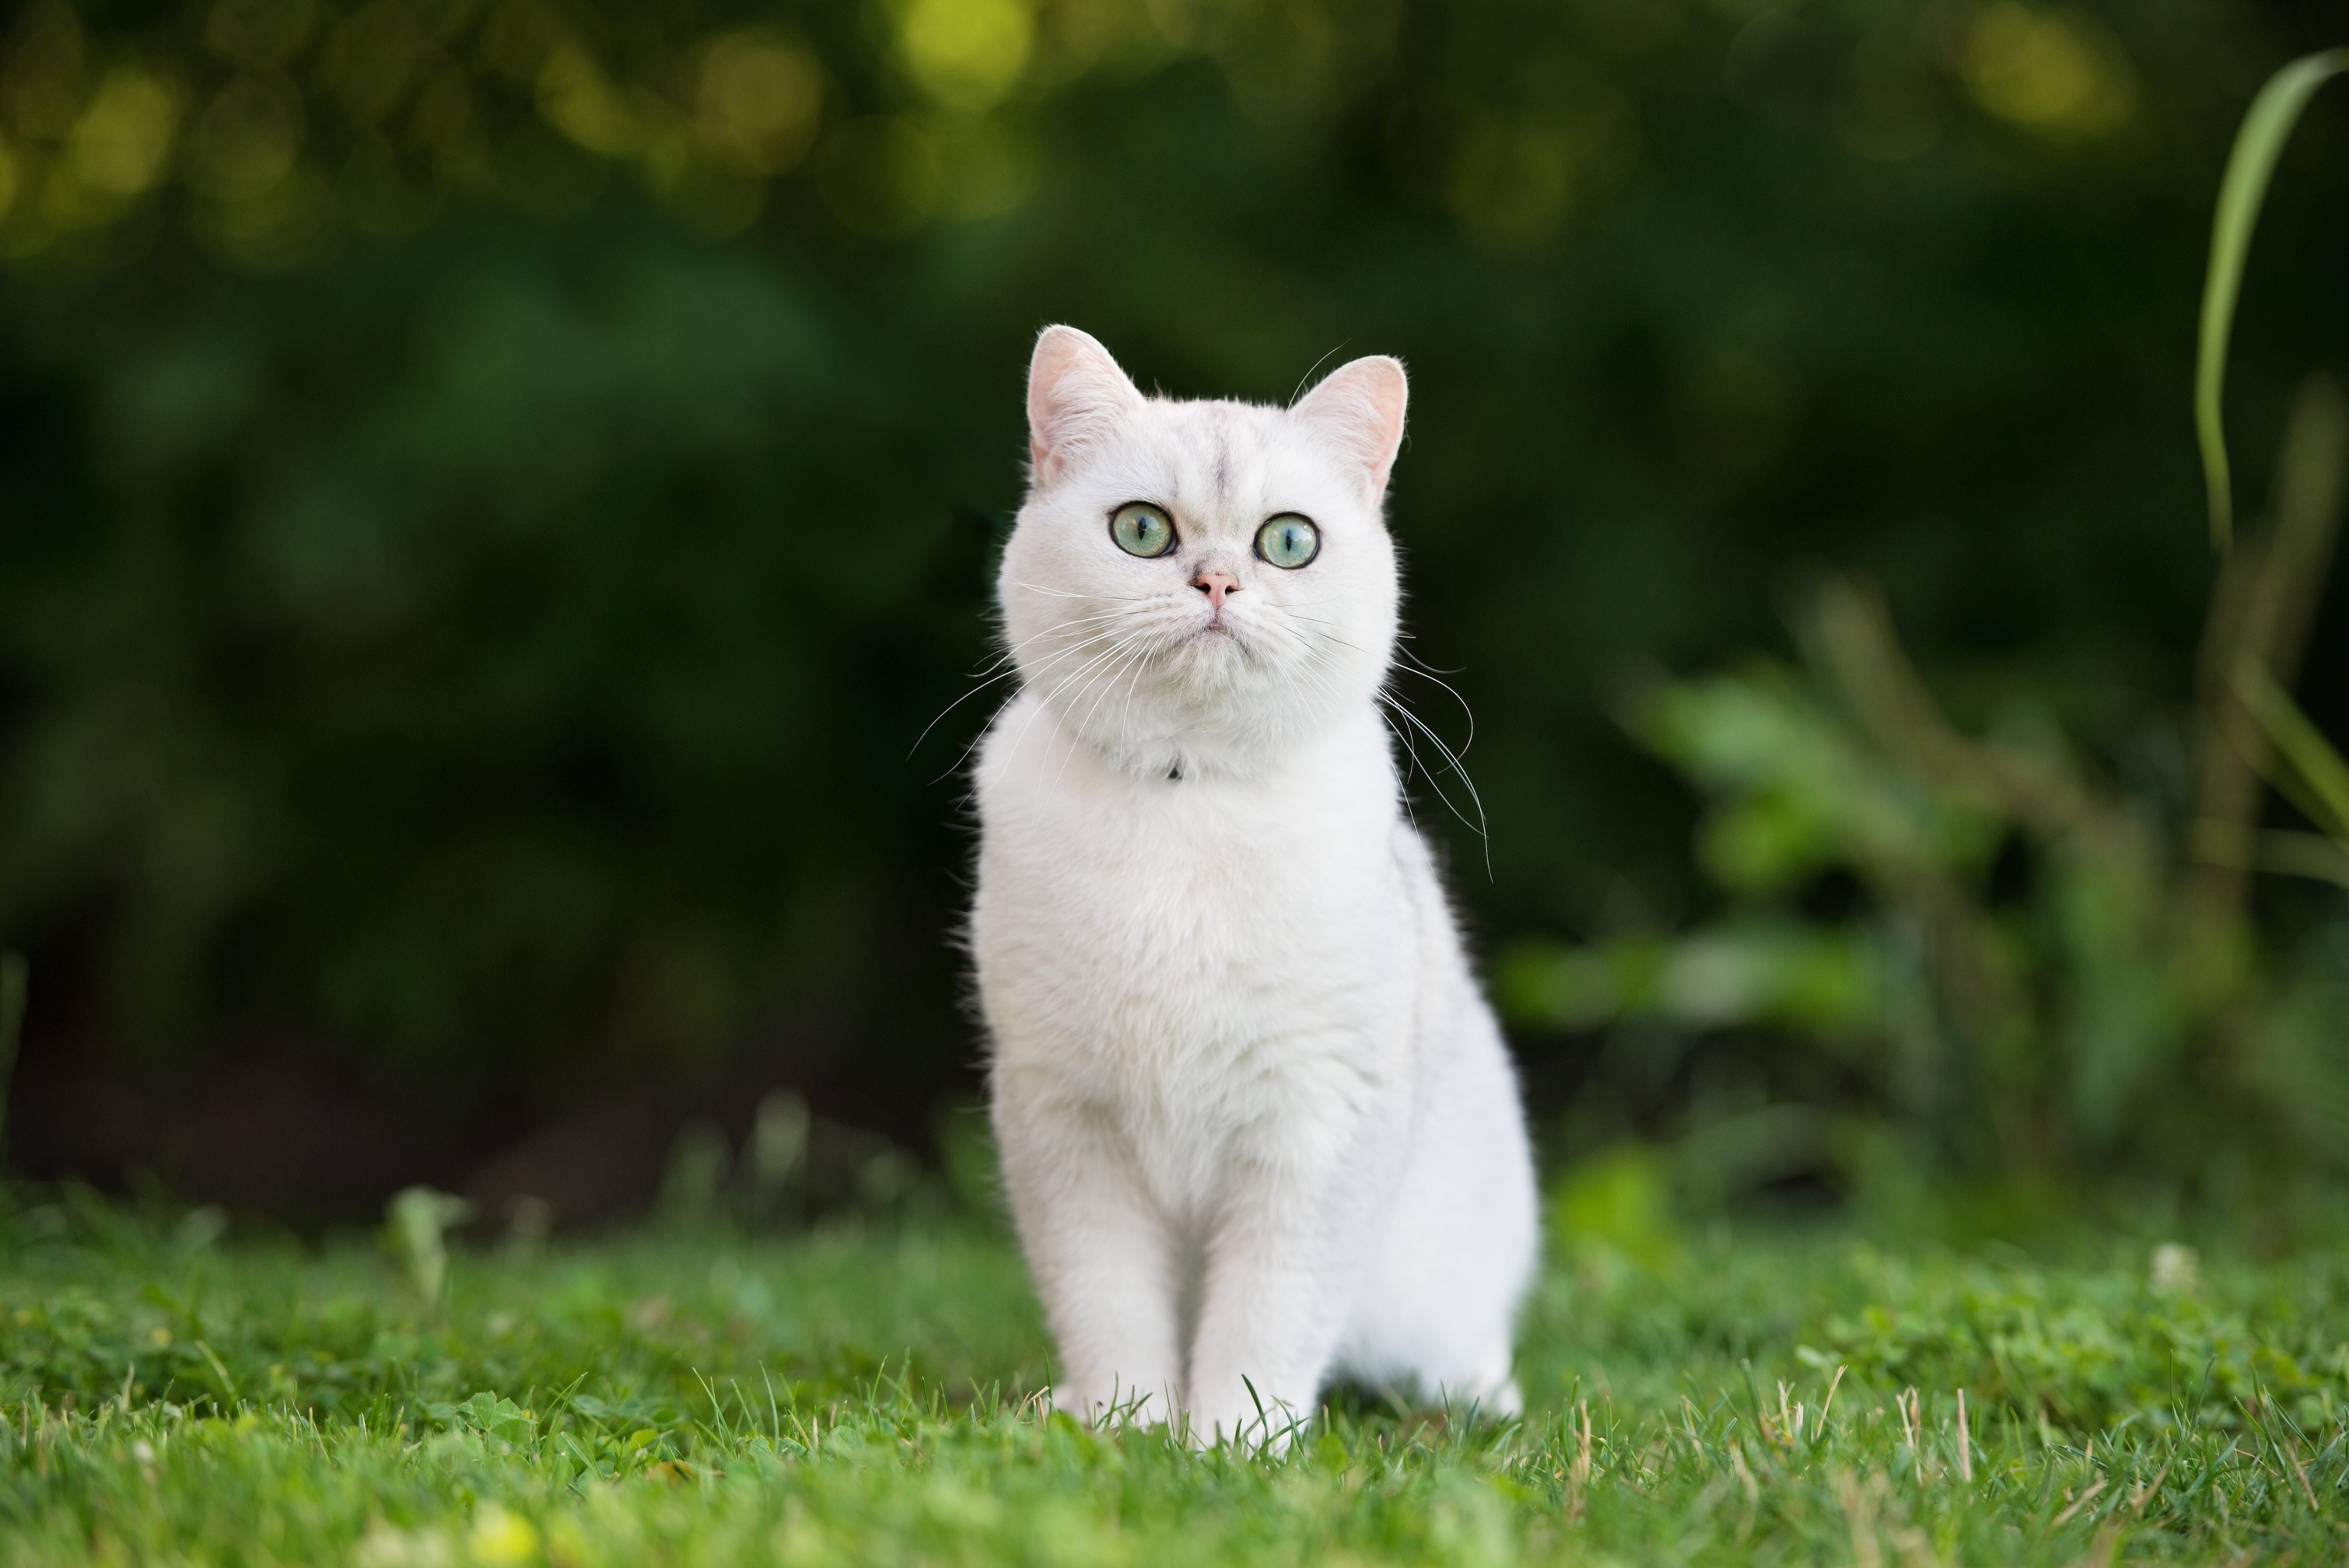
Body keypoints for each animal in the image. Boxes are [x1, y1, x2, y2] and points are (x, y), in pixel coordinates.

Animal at [963, 328, 1532, 1446]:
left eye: (1288, 543)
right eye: (1141, 531)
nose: (1219, 583)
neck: (1188, 797)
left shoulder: (1315, 1124)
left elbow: (1268, 1319)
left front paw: (1233, 1446)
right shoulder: (1064, 1118)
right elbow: (1106, 1306)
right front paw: (1125, 1426)